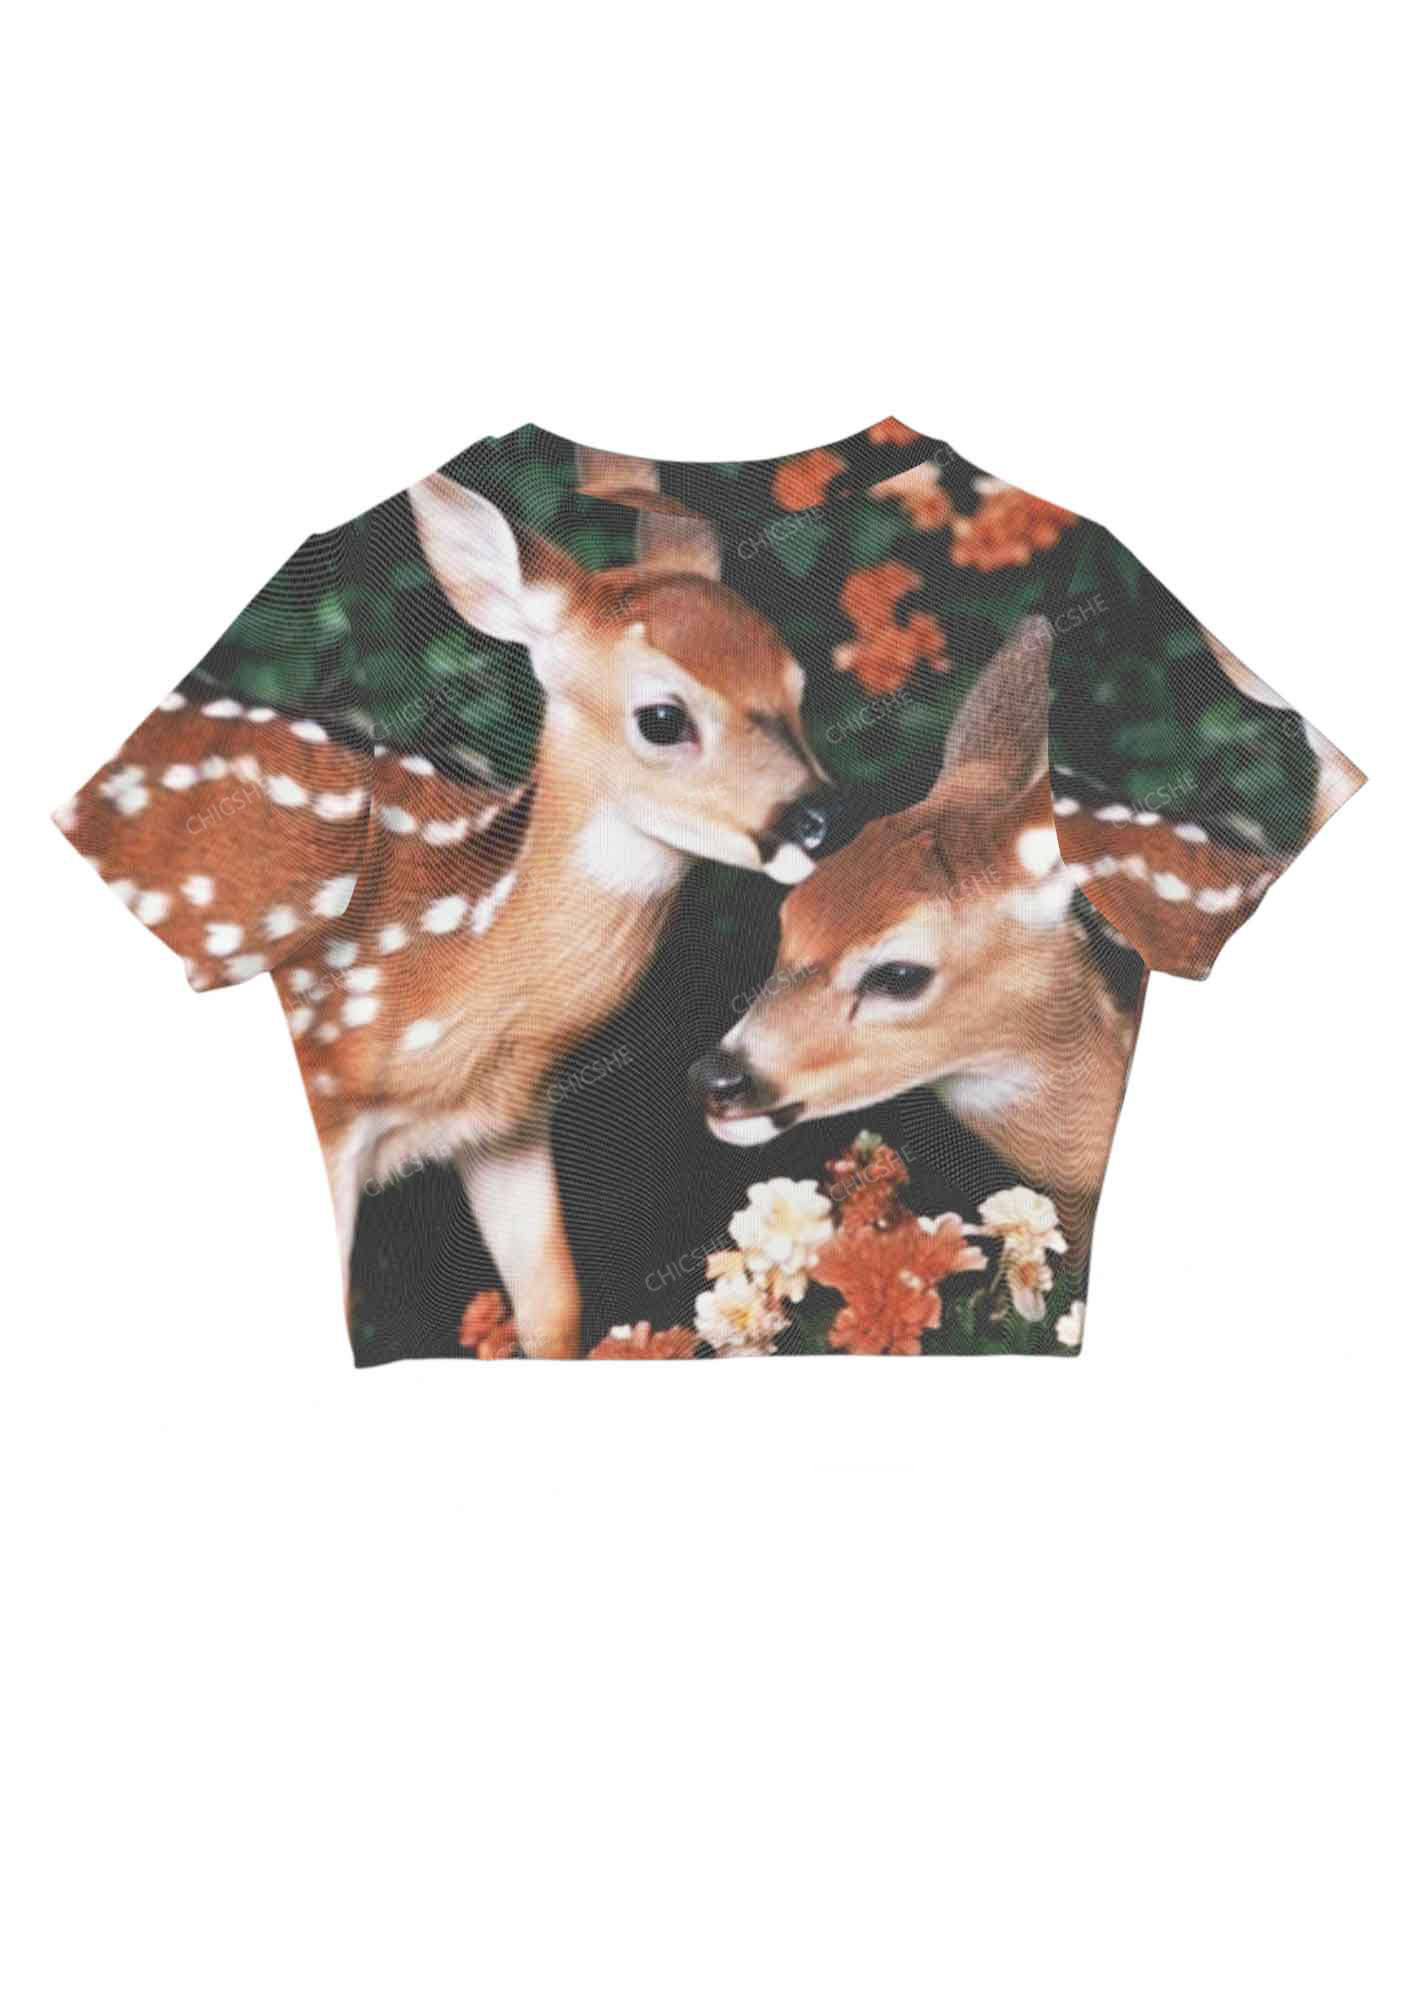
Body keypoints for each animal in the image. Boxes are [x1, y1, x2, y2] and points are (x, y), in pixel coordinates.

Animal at [57, 452, 833, 1355]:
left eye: (797, 683)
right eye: (663, 717)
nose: (820, 818)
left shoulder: (506, 1120)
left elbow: (553, 1305)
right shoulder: (330, 1103)